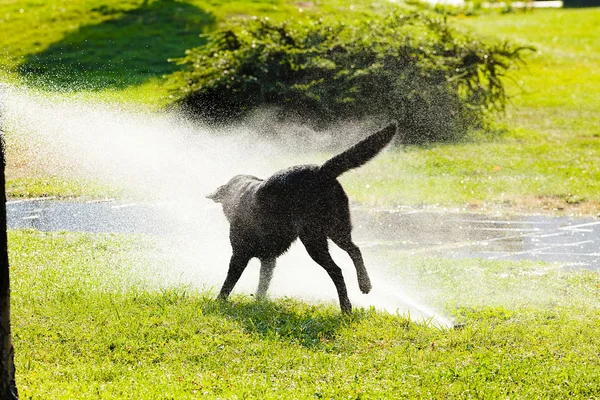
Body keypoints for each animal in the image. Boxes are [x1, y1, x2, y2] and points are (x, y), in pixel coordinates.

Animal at [207, 122, 398, 312]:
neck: (241, 191)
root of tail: (321, 171)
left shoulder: (239, 254)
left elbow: (229, 282)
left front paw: (218, 301)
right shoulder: (269, 259)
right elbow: (263, 284)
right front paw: (259, 304)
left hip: (313, 240)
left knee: (337, 270)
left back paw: (347, 305)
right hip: (335, 229)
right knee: (354, 250)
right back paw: (363, 287)